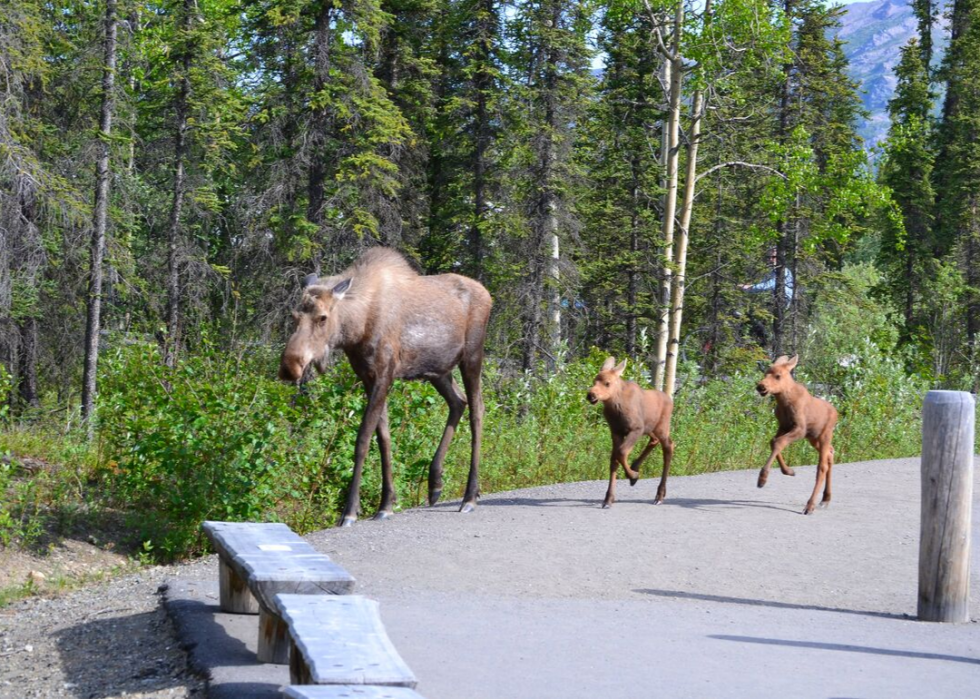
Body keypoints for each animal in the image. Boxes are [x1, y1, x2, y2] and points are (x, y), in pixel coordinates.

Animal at [278, 249, 490, 528]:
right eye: (294, 316)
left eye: (322, 317)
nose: (290, 366)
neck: (355, 330)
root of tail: (489, 295)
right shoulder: (368, 377)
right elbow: (384, 437)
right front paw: (386, 503)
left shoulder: (384, 375)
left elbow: (363, 439)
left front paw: (350, 511)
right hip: (438, 370)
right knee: (458, 401)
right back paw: (435, 483)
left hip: (471, 357)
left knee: (477, 410)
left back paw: (469, 497)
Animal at [588, 356, 672, 508]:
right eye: (594, 381)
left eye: (607, 383)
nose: (591, 395)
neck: (615, 407)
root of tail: (670, 399)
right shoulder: (616, 432)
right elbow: (614, 460)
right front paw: (608, 499)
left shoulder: (636, 429)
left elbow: (621, 453)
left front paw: (633, 476)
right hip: (650, 428)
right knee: (654, 440)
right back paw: (635, 466)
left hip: (662, 428)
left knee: (669, 447)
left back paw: (659, 495)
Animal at [756, 356, 840, 516]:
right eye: (765, 373)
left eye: (778, 375)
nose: (760, 386)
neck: (783, 402)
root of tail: (837, 413)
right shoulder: (783, 426)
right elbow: (773, 441)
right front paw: (788, 471)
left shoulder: (800, 429)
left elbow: (778, 442)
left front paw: (762, 479)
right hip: (814, 438)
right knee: (831, 453)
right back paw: (825, 499)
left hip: (825, 434)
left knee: (822, 466)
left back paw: (810, 505)